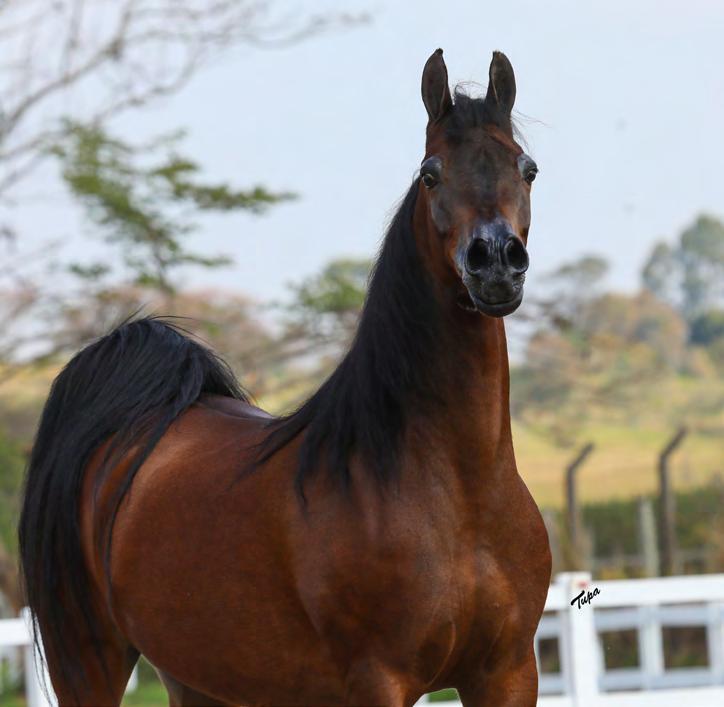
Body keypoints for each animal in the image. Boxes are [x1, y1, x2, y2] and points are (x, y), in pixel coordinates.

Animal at [19, 49, 551, 706]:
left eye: (527, 170)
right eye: (431, 173)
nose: (495, 261)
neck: (456, 494)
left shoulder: (508, 673)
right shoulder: (379, 679)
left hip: (196, 674)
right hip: (87, 662)